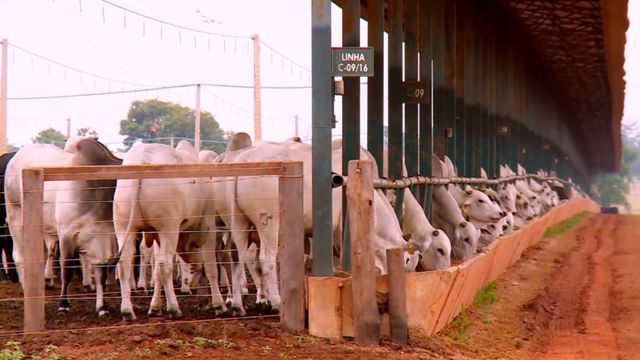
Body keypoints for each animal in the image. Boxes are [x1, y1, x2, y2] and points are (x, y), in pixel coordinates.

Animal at [4, 138, 121, 316]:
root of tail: (17, 156)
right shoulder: (67, 235)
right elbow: (67, 271)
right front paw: (63, 304)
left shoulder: (104, 238)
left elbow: (101, 274)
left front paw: (102, 307)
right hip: (16, 218)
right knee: (19, 256)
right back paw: (27, 291)